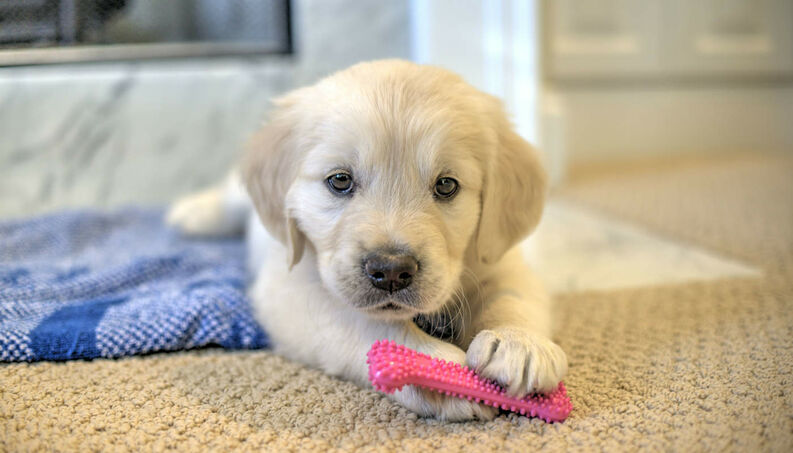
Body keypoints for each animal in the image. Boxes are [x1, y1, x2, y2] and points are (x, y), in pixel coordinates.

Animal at [167, 60, 568, 420]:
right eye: (340, 180)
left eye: (446, 185)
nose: (391, 271)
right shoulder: (292, 290)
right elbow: (370, 325)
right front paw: (438, 371)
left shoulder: (495, 258)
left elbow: (513, 296)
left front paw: (520, 345)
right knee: (230, 196)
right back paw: (193, 212)